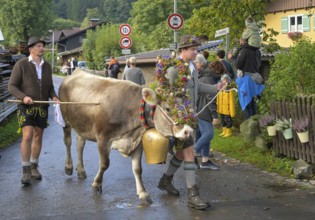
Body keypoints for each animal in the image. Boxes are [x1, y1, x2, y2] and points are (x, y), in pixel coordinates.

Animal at [58, 69, 194, 205]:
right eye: (168, 108)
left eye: (187, 108)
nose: (188, 131)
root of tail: (76, 72)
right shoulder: (102, 138)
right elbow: (104, 164)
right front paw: (96, 184)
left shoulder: (137, 142)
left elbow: (138, 169)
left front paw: (143, 193)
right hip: (65, 119)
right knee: (68, 142)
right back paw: (68, 167)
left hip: (82, 124)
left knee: (80, 143)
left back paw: (81, 171)